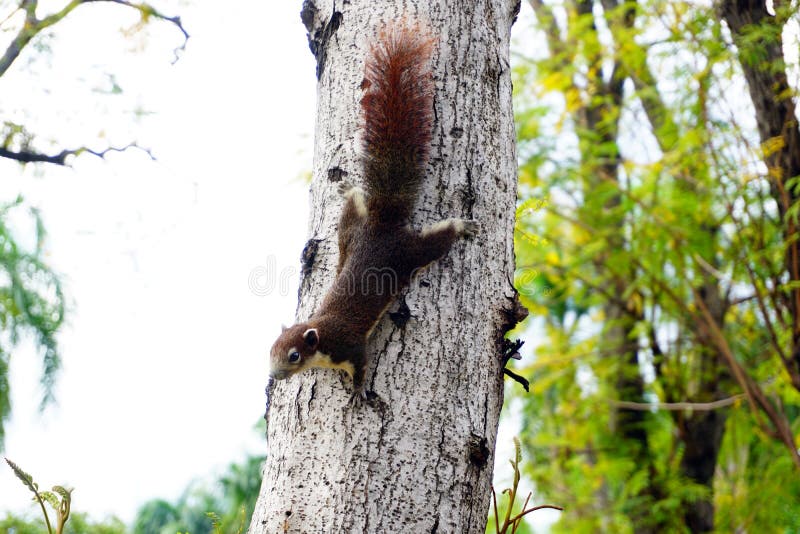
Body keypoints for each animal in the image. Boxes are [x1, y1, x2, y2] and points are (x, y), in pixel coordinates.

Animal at [269, 24, 477, 400]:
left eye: (293, 355)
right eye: (270, 350)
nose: (275, 376)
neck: (321, 333)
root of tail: (383, 223)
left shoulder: (349, 346)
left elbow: (362, 366)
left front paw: (358, 391)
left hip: (408, 253)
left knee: (437, 241)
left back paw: (462, 226)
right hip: (350, 231)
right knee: (352, 209)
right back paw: (348, 190)